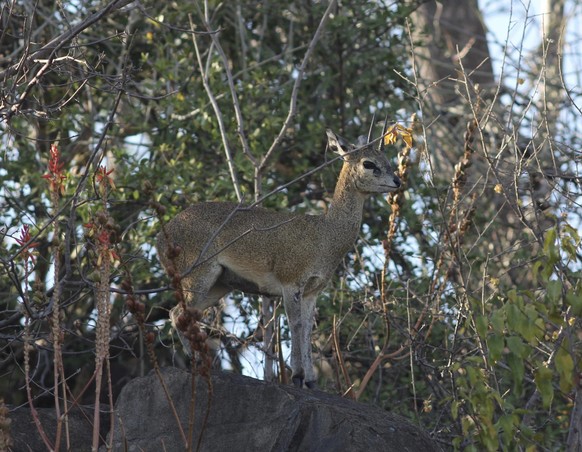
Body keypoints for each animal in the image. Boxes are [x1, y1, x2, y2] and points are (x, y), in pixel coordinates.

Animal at [157, 127, 404, 388]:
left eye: (387, 159)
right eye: (368, 163)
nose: (397, 181)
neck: (325, 235)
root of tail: (160, 238)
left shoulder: (312, 291)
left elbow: (307, 329)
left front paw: (310, 380)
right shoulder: (291, 282)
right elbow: (295, 325)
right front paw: (297, 375)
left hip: (220, 284)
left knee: (177, 314)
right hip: (198, 275)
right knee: (178, 315)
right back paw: (197, 362)